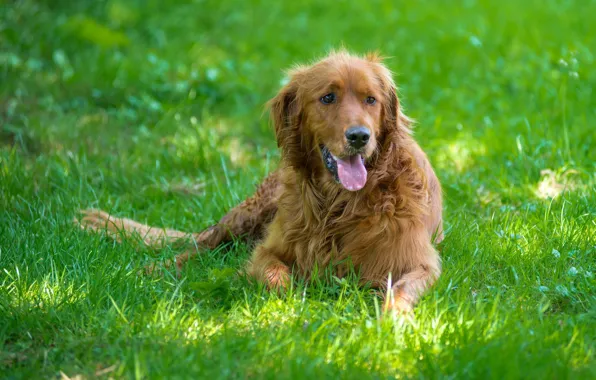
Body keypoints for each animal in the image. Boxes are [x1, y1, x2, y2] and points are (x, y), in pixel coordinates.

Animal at [78, 49, 442, 312]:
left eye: (371, 99)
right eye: (328, 97)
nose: (359, 137)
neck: (338, 205)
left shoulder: (419, 263)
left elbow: (401, 292)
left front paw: (394, 323)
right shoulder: (268, 249)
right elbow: (273, 274)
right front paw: (291, 303)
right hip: (249, 212)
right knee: (199, 244)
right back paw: (149, 271)